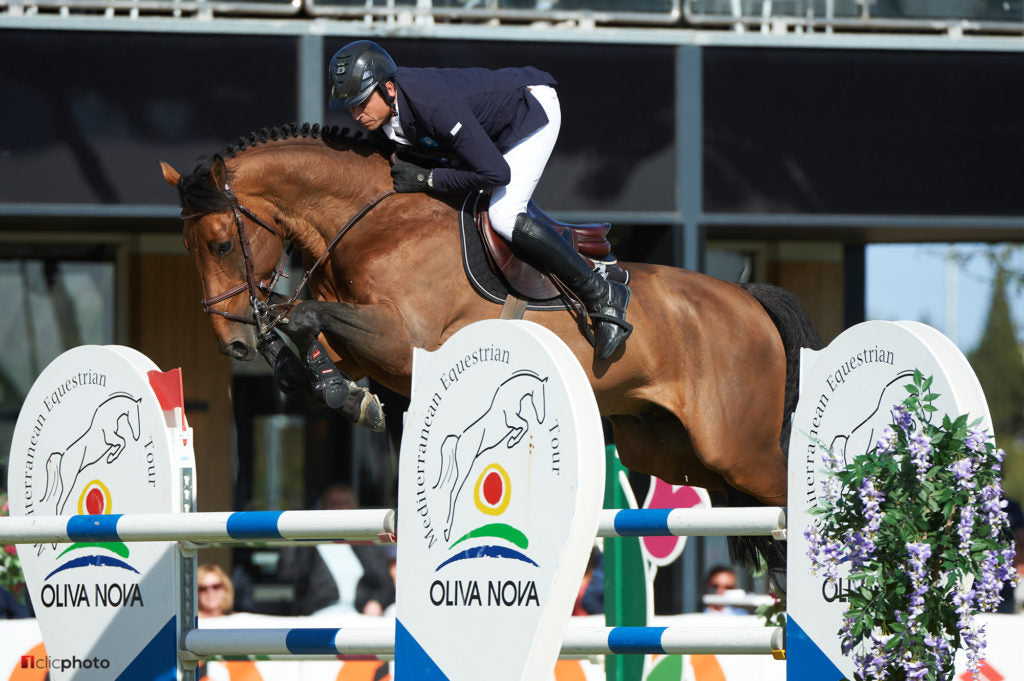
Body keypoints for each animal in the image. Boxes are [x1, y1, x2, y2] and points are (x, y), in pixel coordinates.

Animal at [159, 122, 823, 569]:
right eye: (187, 248)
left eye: (221, 243)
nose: (234, 342)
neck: (373, 222)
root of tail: (748, 298)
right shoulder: (366, 345)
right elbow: (306, 341)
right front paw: (338, 391)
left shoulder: (403, 341)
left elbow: (304, 318)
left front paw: (344, 394)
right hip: (669, 449)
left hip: (736, 448)